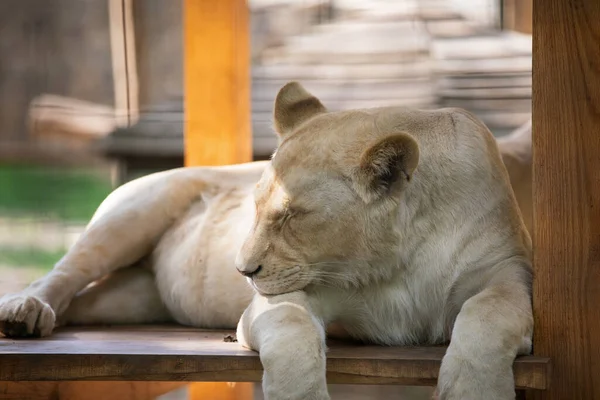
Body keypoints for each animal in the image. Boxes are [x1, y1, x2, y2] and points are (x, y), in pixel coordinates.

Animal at [0, 82, 532, 400]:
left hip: (132, 299)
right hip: (133, 210)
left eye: (292, 216)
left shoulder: (507, 274)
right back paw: (24, 311)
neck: (396, 259)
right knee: (65, 271)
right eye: (255, 208)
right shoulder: (277, 301)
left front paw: (471, 389)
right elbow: (293, 331)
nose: (242, 271)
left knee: (83, 301)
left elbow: (488, 314)